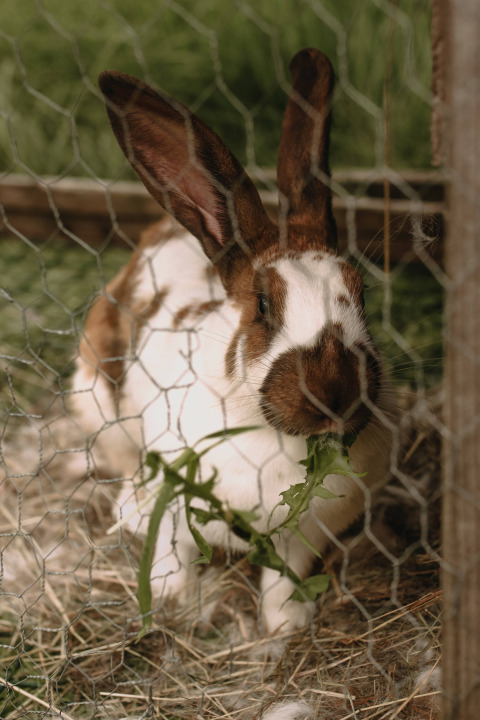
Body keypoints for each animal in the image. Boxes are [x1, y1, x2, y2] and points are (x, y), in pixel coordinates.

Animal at [72, 48, 397, 634]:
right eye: (263, 306)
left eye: (361, 293)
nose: (333, 394)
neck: (274, 439)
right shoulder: (176, 505)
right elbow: (171, 553)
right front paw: (173, 600)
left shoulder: (302, 534)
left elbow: (283, 579)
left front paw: (286, 625)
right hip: (98, 406)